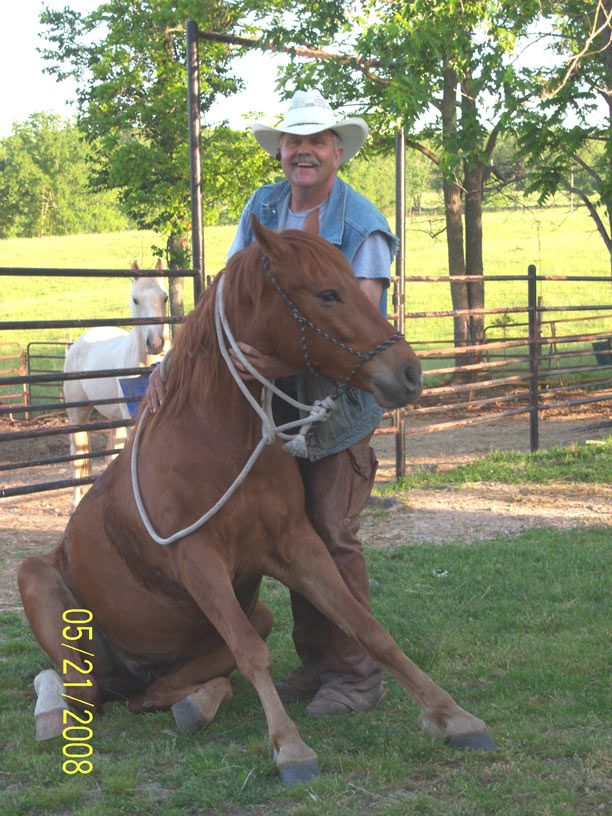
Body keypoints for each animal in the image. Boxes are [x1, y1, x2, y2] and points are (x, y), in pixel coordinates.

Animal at [63, 262, 169, 506]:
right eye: (135, 299)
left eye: (165, 297)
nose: (155, 343)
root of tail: (77, 344)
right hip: (77, 415)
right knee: (78, 455)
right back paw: (75, 502)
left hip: (113, 419)